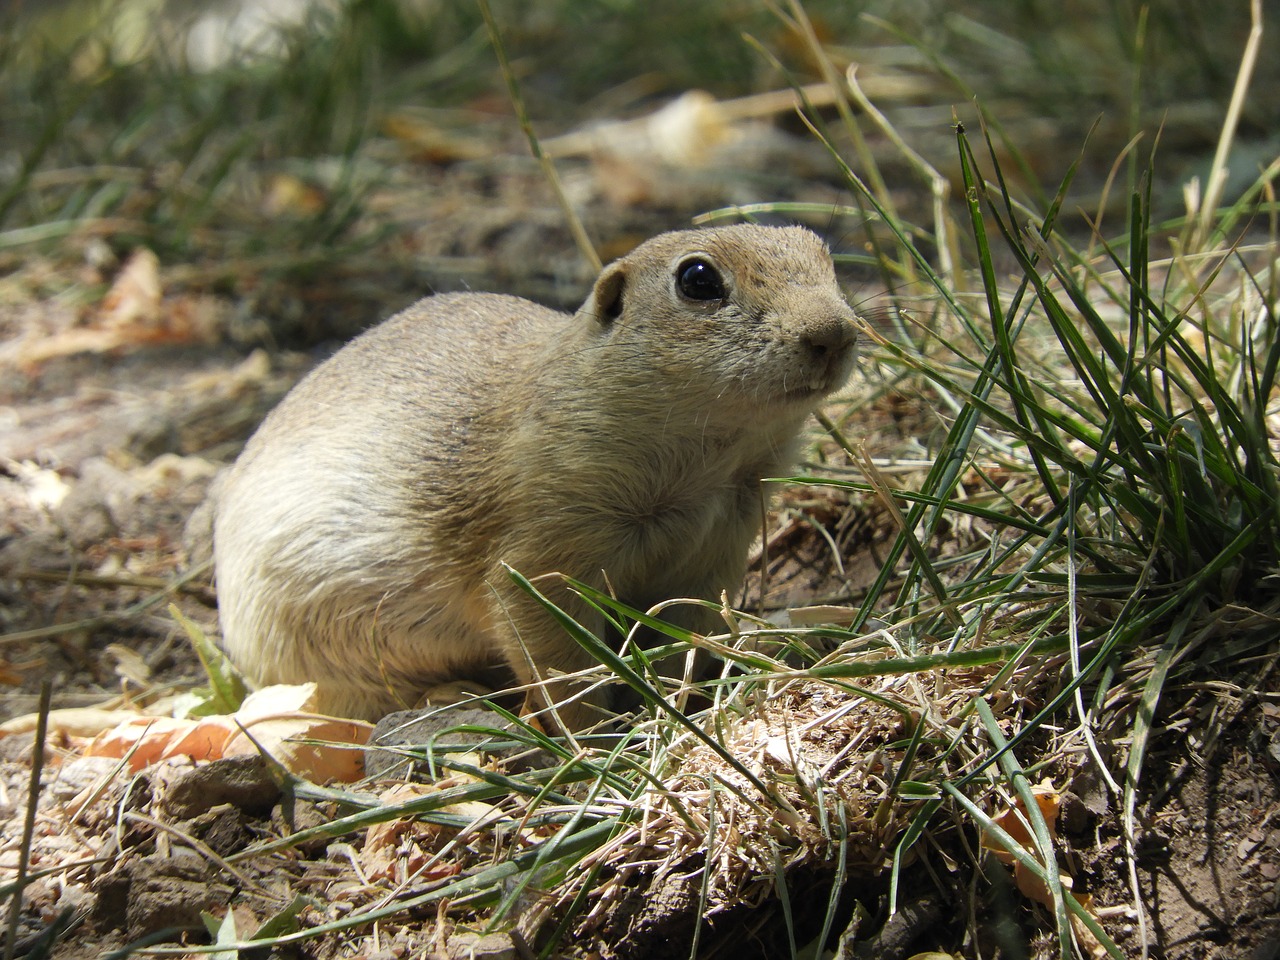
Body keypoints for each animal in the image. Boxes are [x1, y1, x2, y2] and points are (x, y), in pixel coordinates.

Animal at [215, 224, 860, 727]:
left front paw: (687, 702)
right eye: (697, 279)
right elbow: (559, 657)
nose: (833, 332)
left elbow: (687, 633)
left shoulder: (717, 549)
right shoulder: (542, 546)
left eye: (825, 256)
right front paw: (598, 739)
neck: (708, 467)